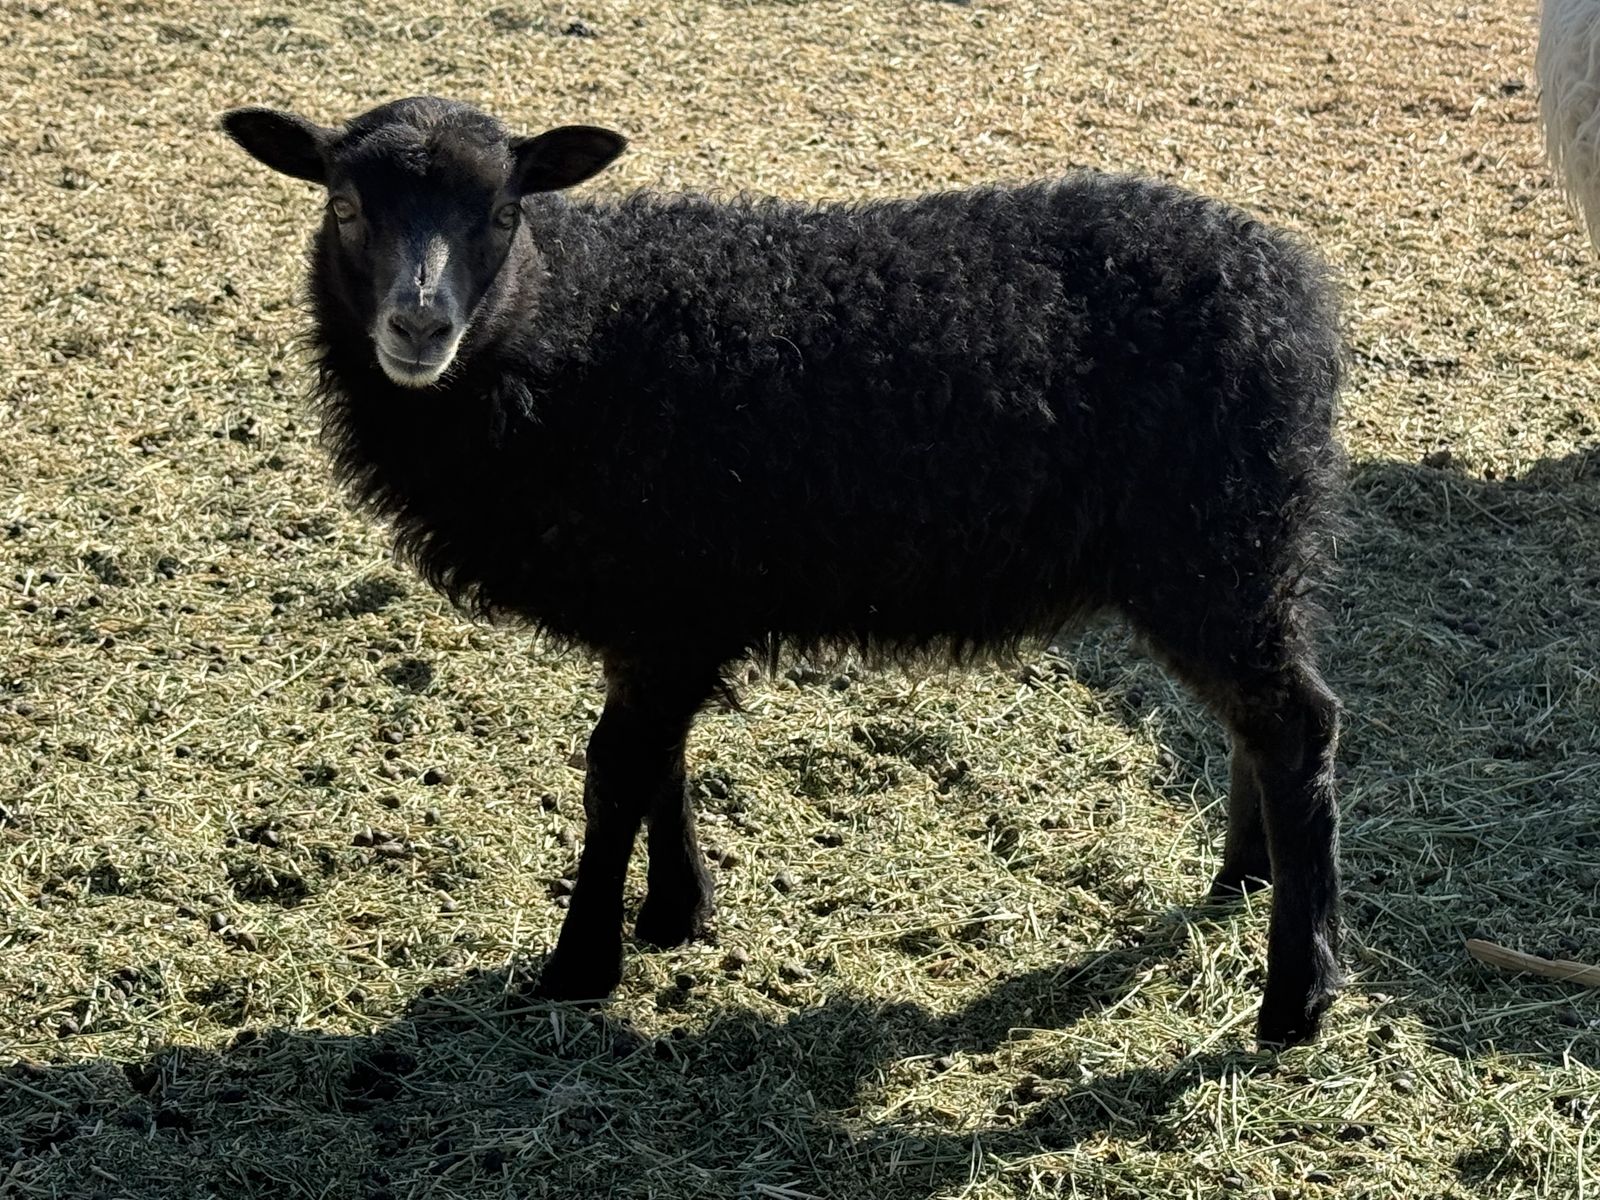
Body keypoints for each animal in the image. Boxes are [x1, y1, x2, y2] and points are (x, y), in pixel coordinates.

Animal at [222, 96, 1346, 1046]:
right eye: (345, 205)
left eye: (503, 210)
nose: (419, 325)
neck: (569, 333)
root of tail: (1293, 290)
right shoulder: (666, 608)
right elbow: (657, 760)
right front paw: (676, 912)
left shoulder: (666, 601)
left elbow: (614, 771)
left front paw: (580, 964)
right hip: (1232, 553)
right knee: (1257, 722)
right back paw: (1241, 881)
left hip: (1219, 540)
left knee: (1296, 727)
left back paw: (1295, 994)